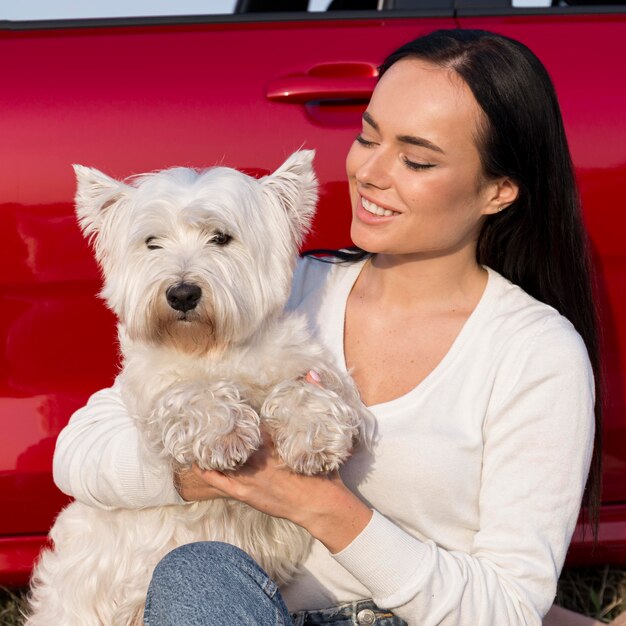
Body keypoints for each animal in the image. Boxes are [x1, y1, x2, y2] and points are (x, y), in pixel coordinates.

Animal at [25, 151, 366, 624]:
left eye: (221, 238)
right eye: (151, 242)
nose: (182, 294)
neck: (211, 347)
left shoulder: (308, 366)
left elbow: (305, 389)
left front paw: (314, 439)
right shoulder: (152, 391)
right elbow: (187, 395)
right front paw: (225, 435)